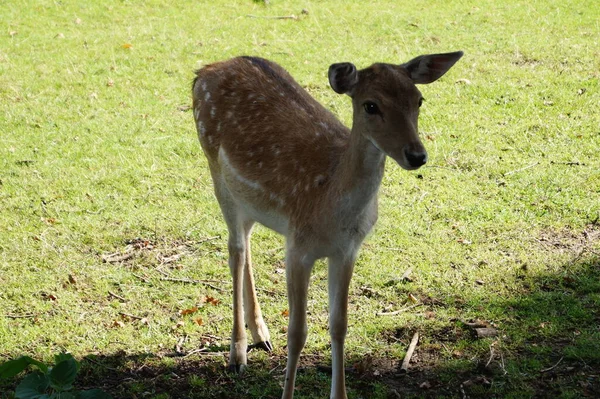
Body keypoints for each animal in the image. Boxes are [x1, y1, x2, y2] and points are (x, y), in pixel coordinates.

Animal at [192, 50, 464, 399]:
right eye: (370, 105)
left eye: (418, 99)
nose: (416, 155)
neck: (330, 206)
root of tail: (204, 71)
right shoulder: (298, 247)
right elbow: (297, 332)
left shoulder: (347, 251)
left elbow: (339, 325)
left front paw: (340, 393)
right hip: (216, 170)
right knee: (235, 251)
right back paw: (237, 354)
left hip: (248, 199)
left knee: (246, 243)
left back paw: (261, 334)